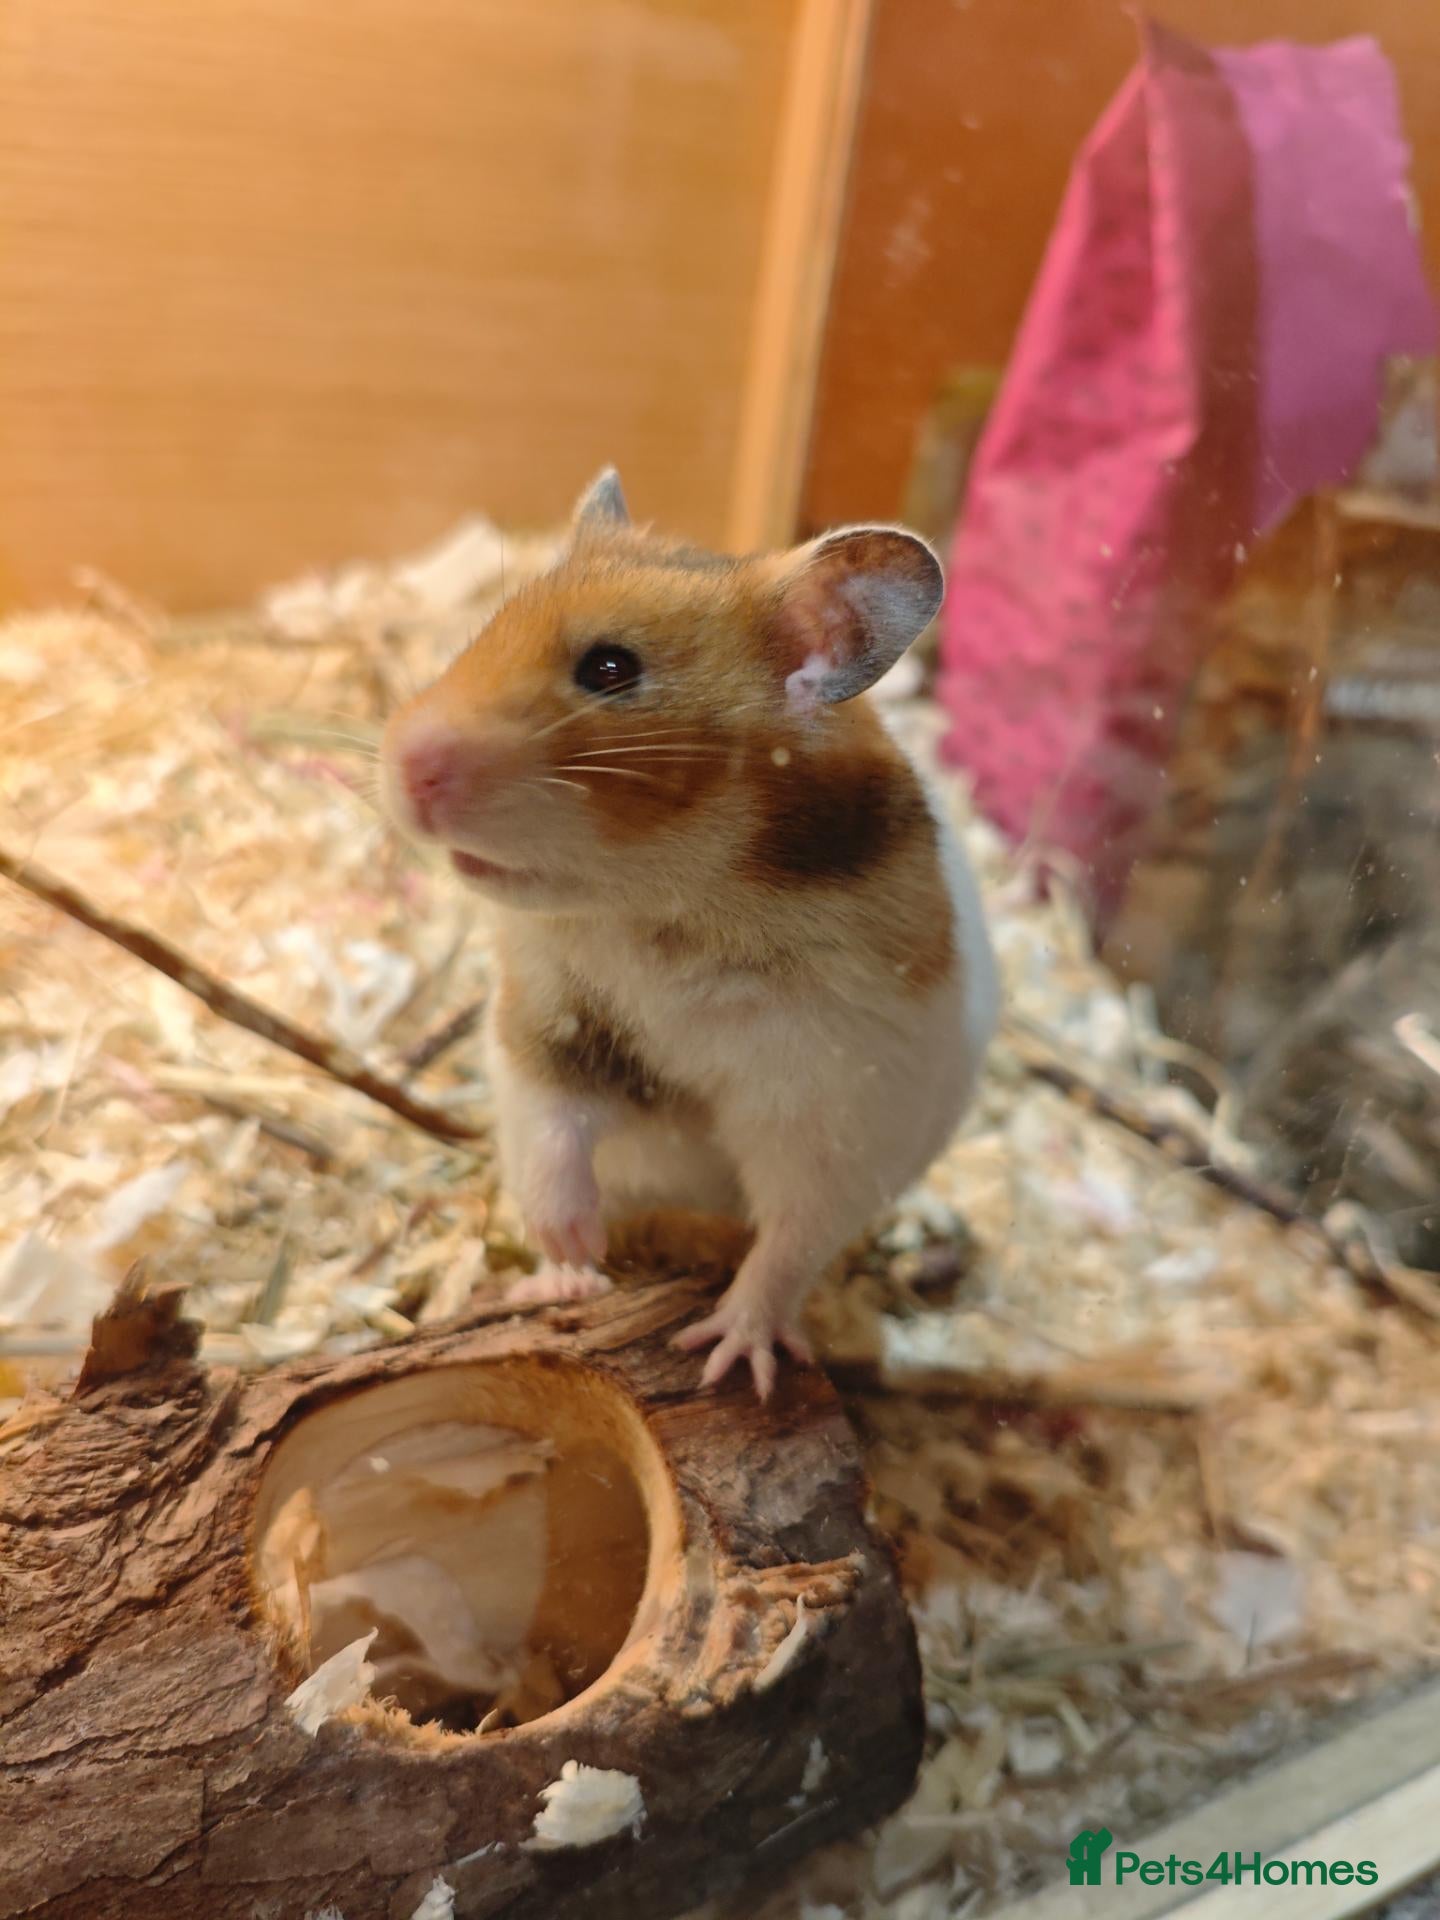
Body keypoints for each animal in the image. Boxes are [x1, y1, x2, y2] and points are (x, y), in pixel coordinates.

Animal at [381, 468, 998, 1397]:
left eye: (610, 668)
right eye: (489, 625)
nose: (401, 764)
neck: (666, 907)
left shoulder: (832, 1110)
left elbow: (787, 1243)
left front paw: (731, 1358)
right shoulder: (549, 1025)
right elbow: (553, 1136)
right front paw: (575, 1251)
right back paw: (557, 1278)